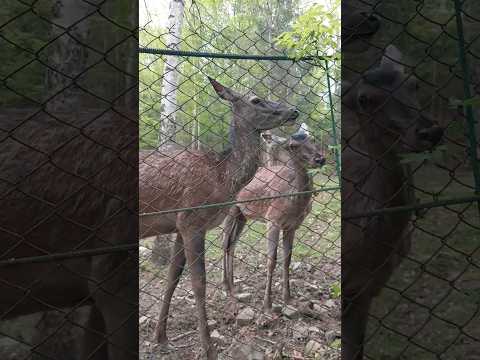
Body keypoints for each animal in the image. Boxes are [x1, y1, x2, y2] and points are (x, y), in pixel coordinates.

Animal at [139, 77, 296, 358]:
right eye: (256, 99)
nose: (293, 111)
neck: (221, 177)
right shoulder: (192, 221)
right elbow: (199, 283)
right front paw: (208, 347)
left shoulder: (179, 226)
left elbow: (172, 277)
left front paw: (161, 337)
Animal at [221, 128, 326, 314]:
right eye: (292, 146)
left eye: (313, 138)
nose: (320, 159)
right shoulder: (273, 220)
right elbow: (271, 260)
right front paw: (267, 304)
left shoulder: (292, 226)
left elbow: (287, 259)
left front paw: (288, 298)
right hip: (230, 208)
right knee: (225, 242)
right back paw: (226, 285)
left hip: (242, 215)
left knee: (232, 243)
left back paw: (233, 285)